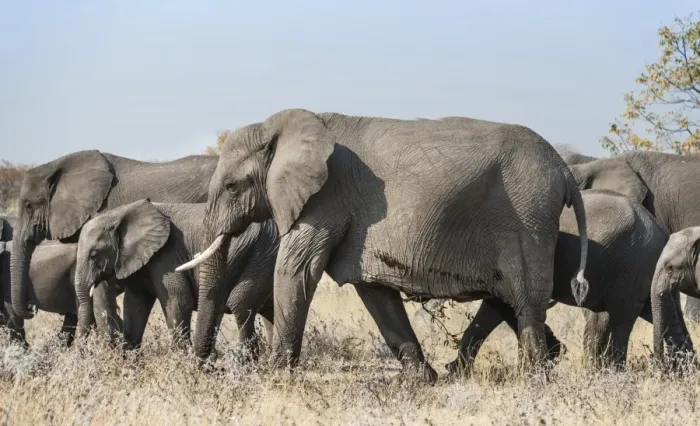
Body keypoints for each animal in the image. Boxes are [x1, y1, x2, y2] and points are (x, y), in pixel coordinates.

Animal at [74, 199, 279, 357]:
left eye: (93, 255)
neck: (122, 212)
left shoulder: (167, 255)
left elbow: (178, 302)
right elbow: (135, 306)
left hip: (262, 254)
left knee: (240, 303)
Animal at [178, 108, 589, 382]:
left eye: (233, 187)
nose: (205, 370)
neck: (282, 128)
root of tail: (562, 167)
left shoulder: (325, 197)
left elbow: (297, 269)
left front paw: (275, 377)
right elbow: (373, 290)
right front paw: (420, 380)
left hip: (529, 215)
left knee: (526, 300)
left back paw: (536, 378)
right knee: (507, 298)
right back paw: (546, 359)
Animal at [444, 189, 668, 373]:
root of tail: (657, 229)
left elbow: (500, 304)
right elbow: (497, 305)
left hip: (632, 266)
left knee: (622, 319)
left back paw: (616, 372)